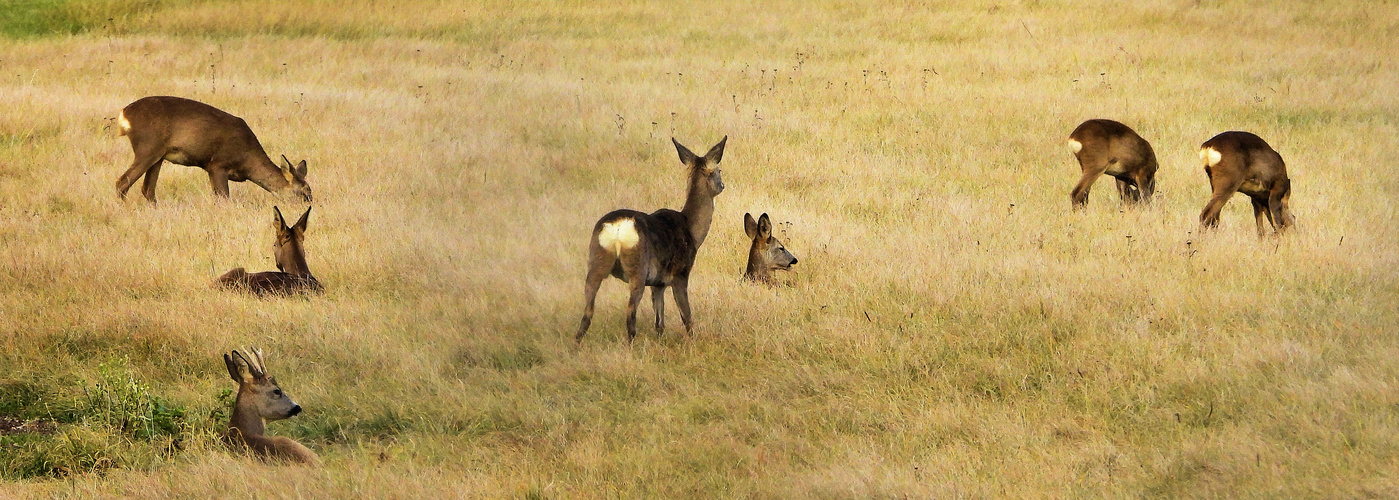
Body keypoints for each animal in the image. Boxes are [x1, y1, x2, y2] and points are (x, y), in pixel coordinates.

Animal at [114, 94, 311, 201]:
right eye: (304, 193)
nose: (310, 205)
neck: (247, 161)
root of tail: (124, 114)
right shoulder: (217, 165)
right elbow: (223, 199)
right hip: (147, 148)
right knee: (122, 182)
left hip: (158, 156)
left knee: (148, 190)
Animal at [570, 134, 727, 340]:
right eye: (719, 170)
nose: (723, 185)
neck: (692, 230)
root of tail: (618, 228)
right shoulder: (680, 273)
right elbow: (687, 317)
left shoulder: (658, 283)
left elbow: (659, 323)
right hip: (638, 268)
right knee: (630, 313)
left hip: (596, 262)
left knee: (586, 314)